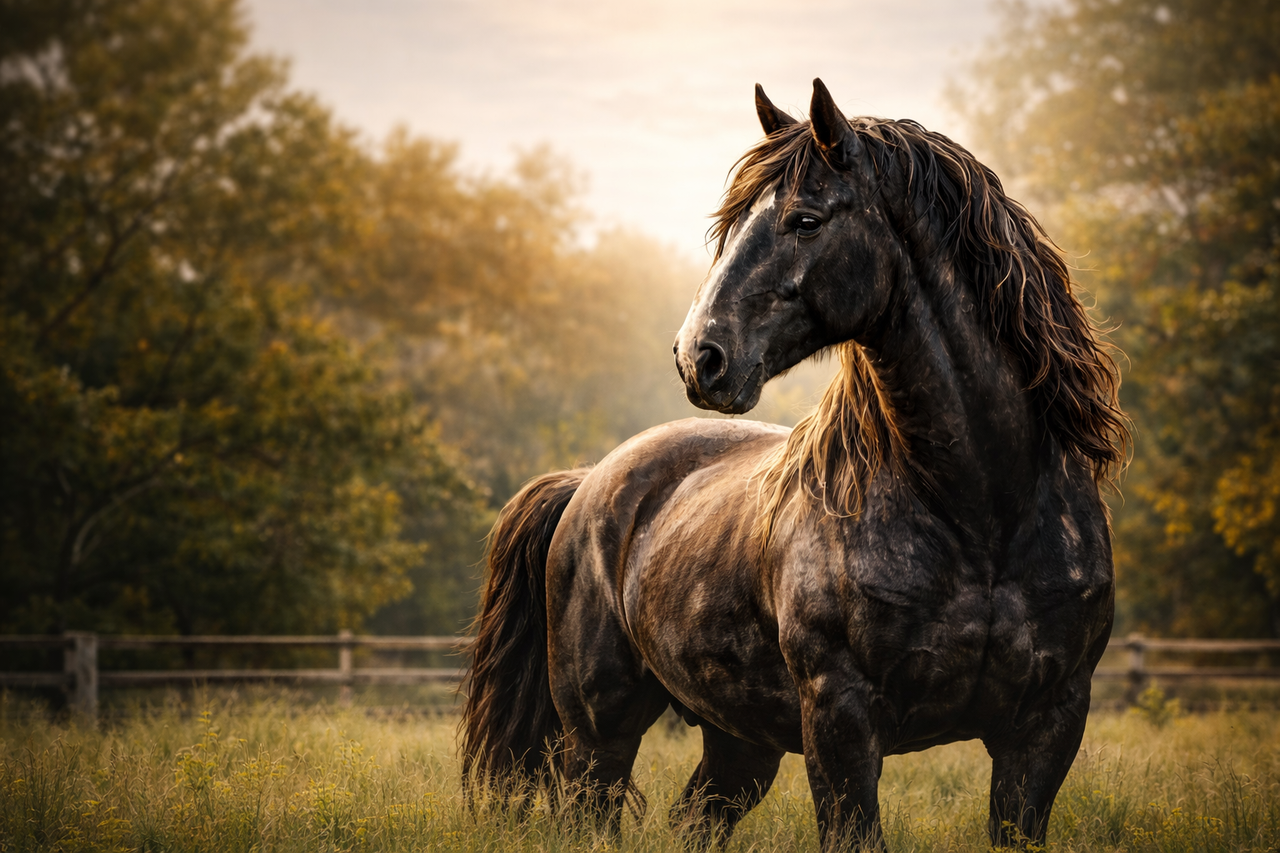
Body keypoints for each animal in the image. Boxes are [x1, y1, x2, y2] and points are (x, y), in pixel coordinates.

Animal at [460, 78, 1128, 851]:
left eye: (805, 220)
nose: (699, 356)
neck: (983, 514)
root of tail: (587, 483)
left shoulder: (1047, 727)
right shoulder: (840, 721)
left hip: (738, 740)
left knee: (697, 817)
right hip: (600, 730)